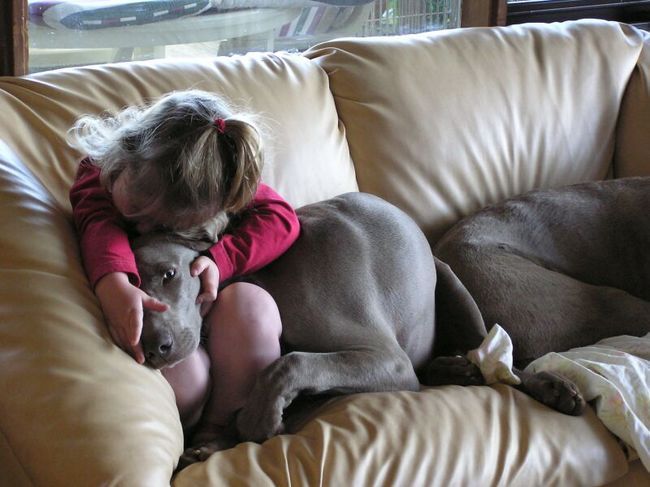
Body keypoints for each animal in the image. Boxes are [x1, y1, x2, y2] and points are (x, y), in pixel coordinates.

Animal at [132, 192, 585, 467]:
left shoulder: (389, 361)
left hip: (451, 280)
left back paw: (549, 386)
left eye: (170, 274)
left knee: (496, 358)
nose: (155, 348)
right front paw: (223, 437)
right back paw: (455, 369)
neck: (264, 277)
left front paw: (254, 419)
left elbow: (291, 364)